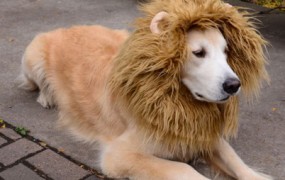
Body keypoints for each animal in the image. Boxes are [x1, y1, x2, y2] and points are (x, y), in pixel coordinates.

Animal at [17, 0, 270, 179]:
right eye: (199, 53)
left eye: (226, 51)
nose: (234, 85)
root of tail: (69, 27)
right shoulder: (119, 154)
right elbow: (182, 169)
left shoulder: (201, 132)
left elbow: (236, 162)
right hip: (32, 56)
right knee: (36, 85)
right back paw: (47, 97)